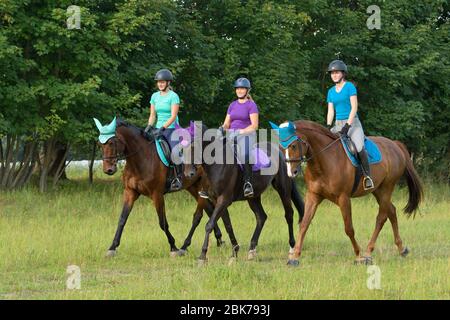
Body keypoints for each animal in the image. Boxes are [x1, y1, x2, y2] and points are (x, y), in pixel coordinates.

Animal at [272, 120, 424, 264]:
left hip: (387, 187)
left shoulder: (343, 198)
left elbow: (349, 228)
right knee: (391, 211)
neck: (324, 160)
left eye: (293, 146)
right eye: (281, 147)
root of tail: (394, 144)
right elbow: (304, 224)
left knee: (381, 217)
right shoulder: (313, 196)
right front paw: (295, 257)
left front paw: (358, 255)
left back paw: (368, 252)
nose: (291, 172)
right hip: (378, 190)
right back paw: (401, 249)